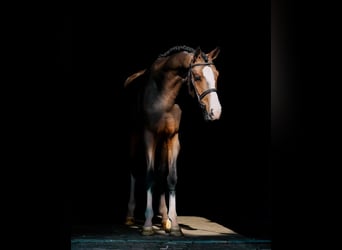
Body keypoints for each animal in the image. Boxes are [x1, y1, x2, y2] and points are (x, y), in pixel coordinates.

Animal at [123, 45, 222, 236]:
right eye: (197, 77)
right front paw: (147, 225)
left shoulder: (173, 137)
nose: (216, 111)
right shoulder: (149, 136)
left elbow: (171, 177)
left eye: (216, 74)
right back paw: (130, 216)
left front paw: (174, 224)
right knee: (133, 170)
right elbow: (149, 175)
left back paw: (164, 219)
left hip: (162, 141)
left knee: (161, 172)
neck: (164, 94)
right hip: (134, 136)